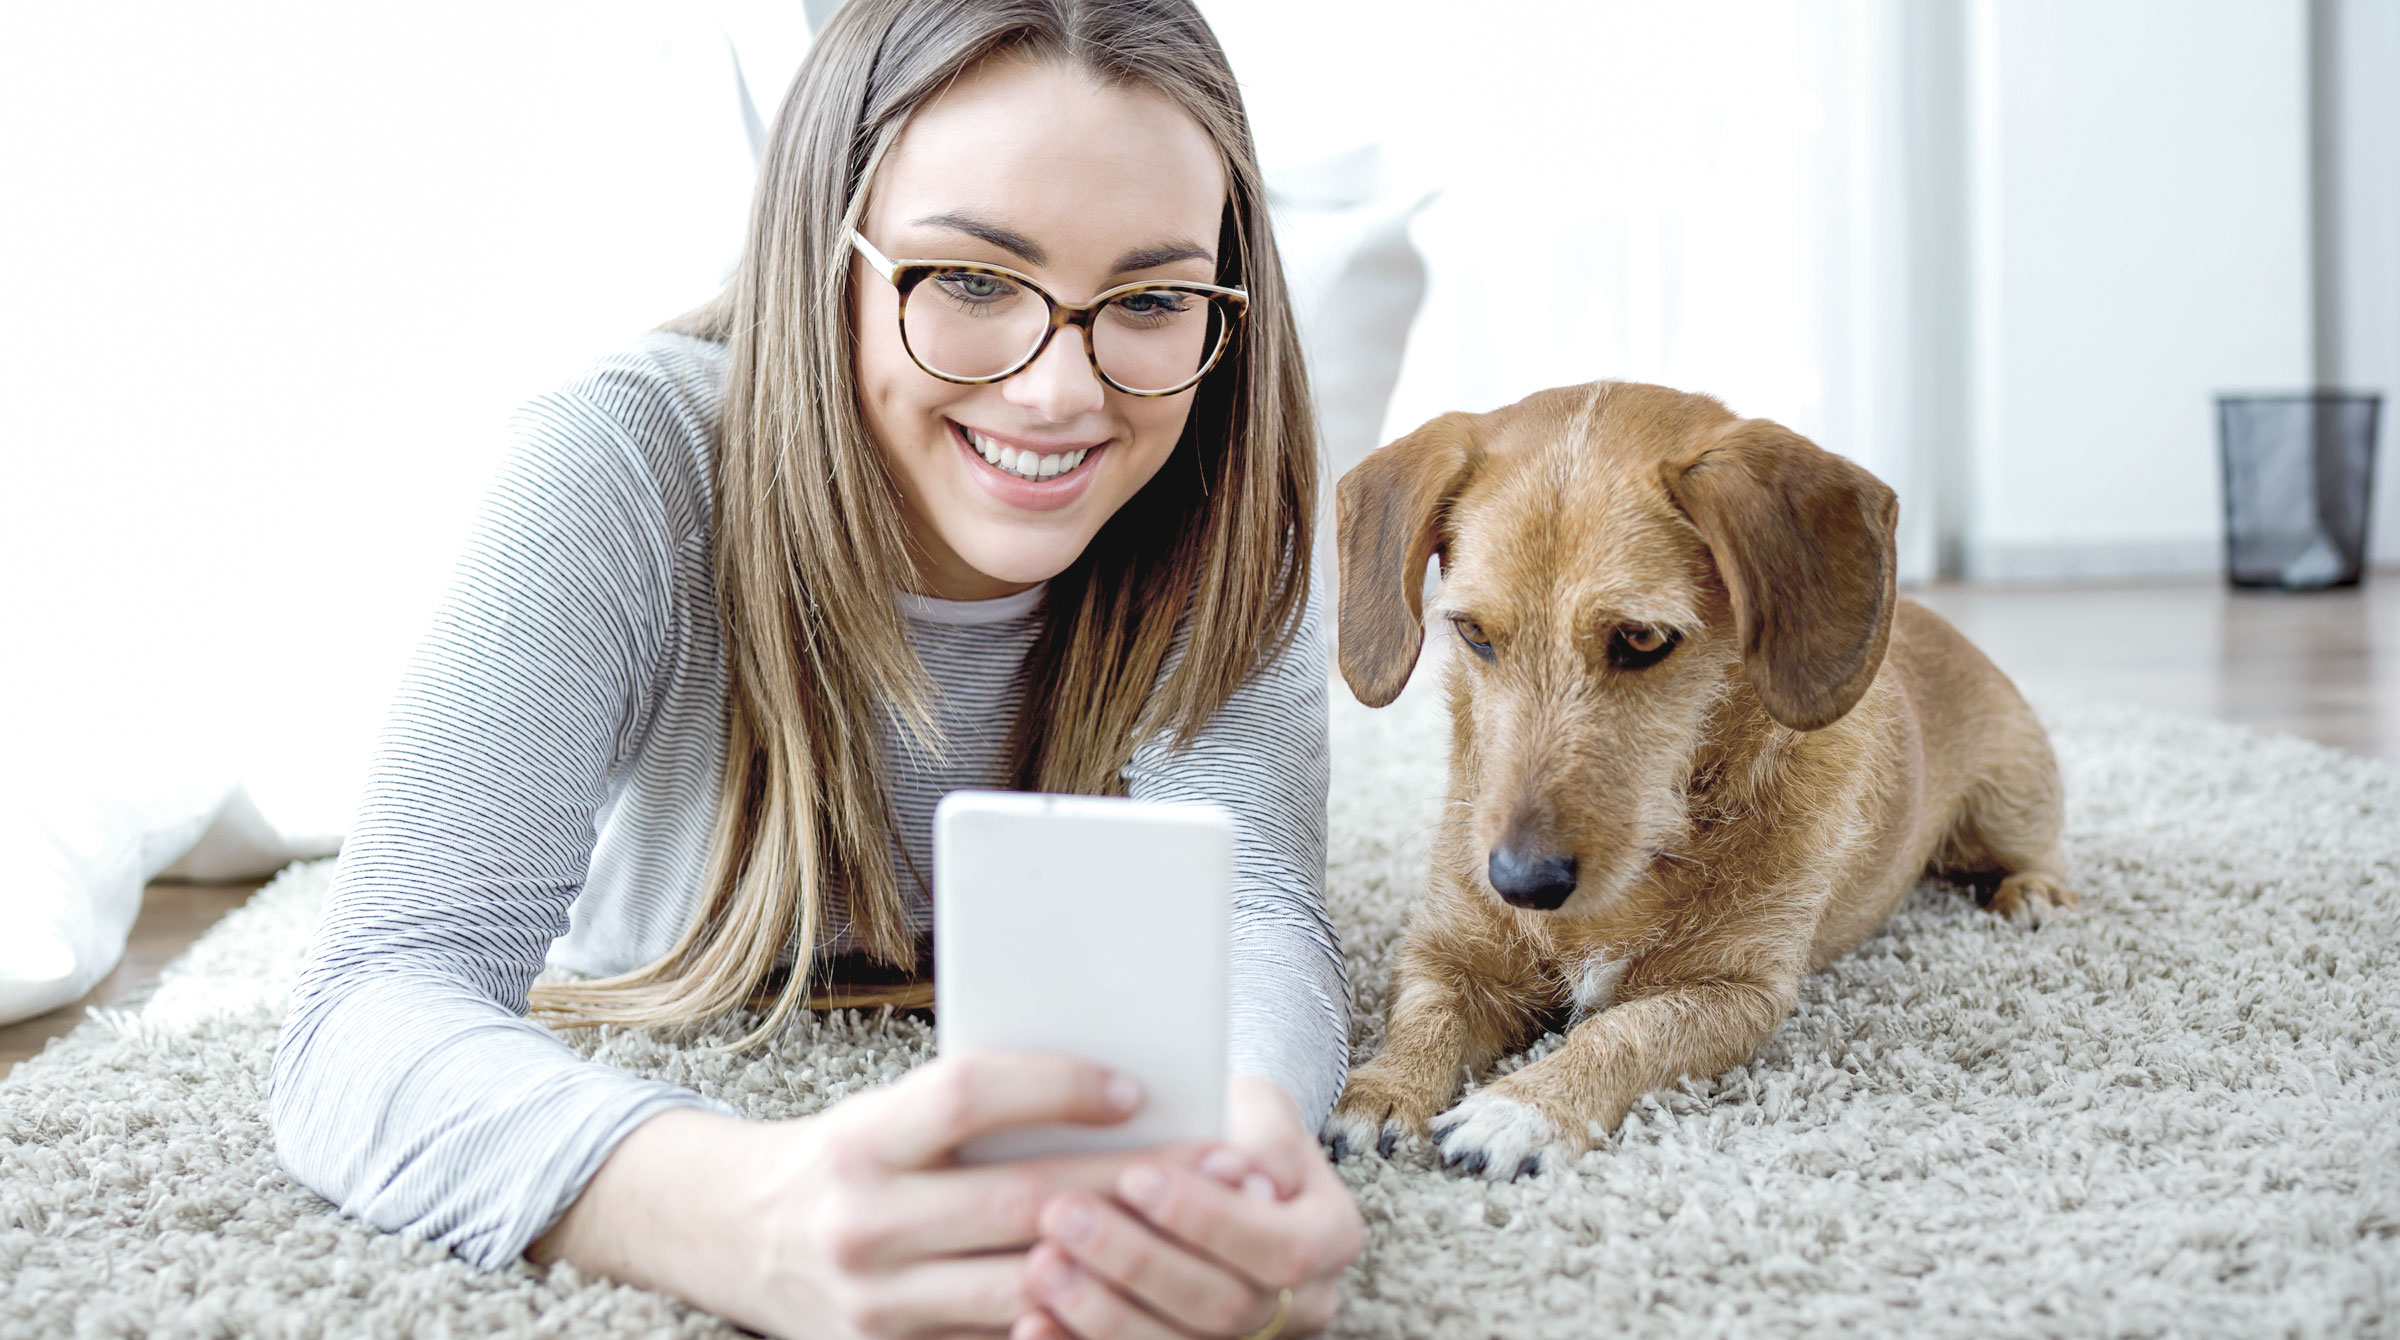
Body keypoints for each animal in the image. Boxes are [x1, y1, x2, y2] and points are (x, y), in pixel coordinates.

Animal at [1324, 384, 2073, 1181]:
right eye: (1471, 633)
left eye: (1643, 639)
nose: (1520, 883)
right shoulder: (1446, 955)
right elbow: (1425, 1018)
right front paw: (1382, 1090)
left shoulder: (1735, 995)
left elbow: (1622, 1031)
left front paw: (1525, 1107)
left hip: (2007, 805)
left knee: (2037, 851)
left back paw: (2033, 892)